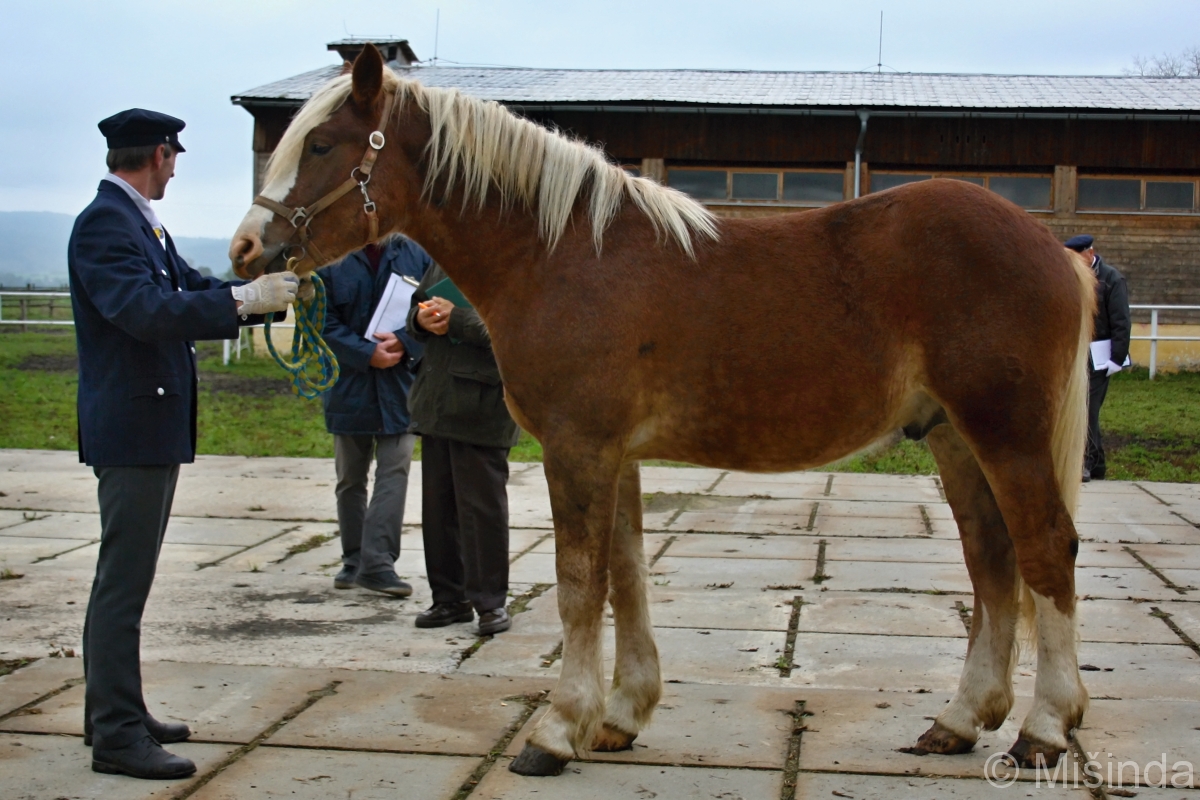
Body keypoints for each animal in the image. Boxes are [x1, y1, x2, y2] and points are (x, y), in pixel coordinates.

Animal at [231, 47, 1099, 777]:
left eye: (322, 144)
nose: (244, 251)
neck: (561, 254)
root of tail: (1054, 250)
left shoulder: (578, 447)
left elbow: (579, 584)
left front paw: (557, 731)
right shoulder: (615, 453)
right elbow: (626, 575)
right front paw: (619, 716)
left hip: (1006, 433)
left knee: (1045, 552)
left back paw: (1044, 730)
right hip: (955, 438)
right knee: (992, 562)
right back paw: (960, 719)